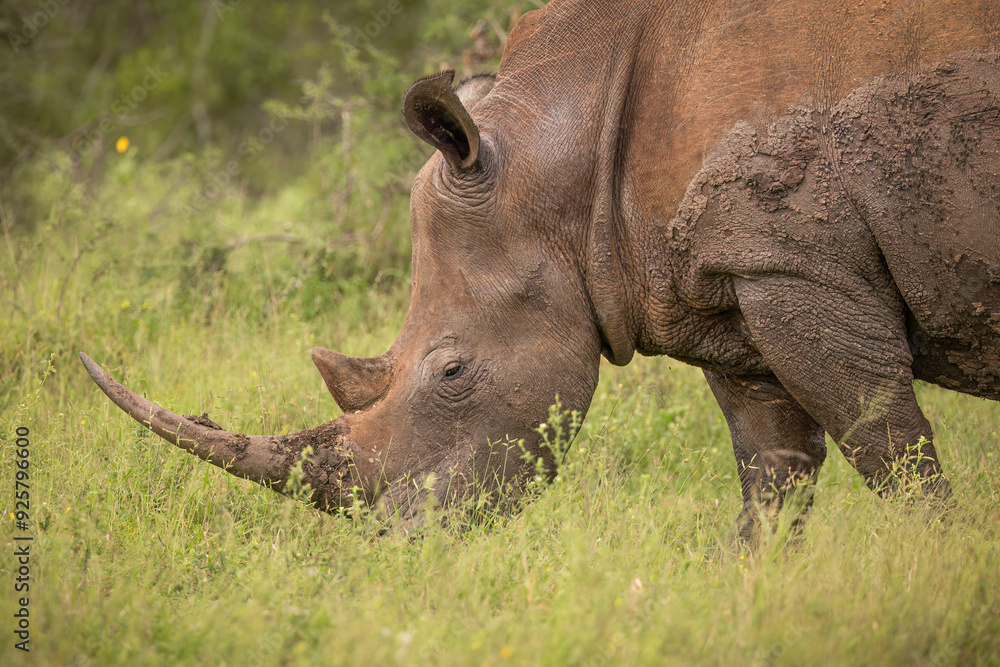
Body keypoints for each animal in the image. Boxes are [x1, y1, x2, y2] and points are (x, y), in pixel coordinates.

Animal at [82, 0, 999, 536]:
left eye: (453, 372)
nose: (392, 543)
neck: (564, 156)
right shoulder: (736, 275)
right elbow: (773, 473)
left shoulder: (797, 263)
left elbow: (890, 447)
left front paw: (936, 568)